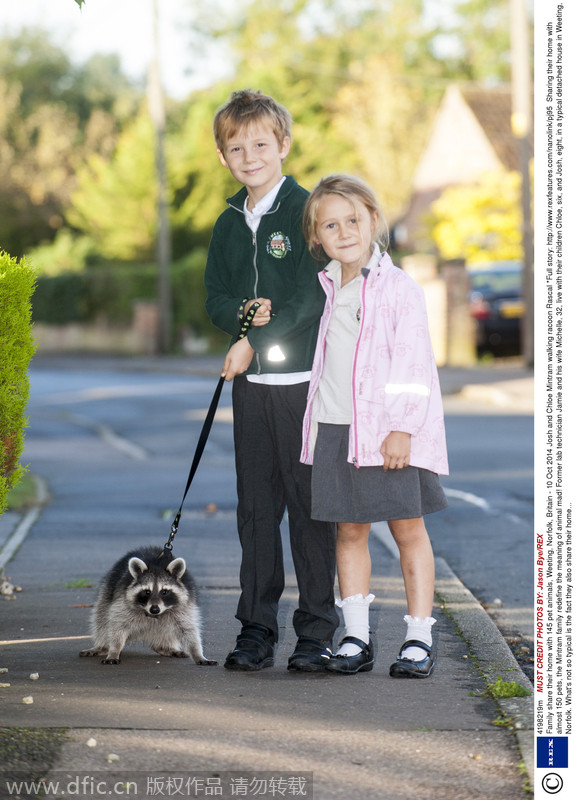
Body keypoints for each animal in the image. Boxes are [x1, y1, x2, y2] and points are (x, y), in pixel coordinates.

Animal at [77, 544, 216, 668]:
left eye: (164, 591)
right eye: (147, 592)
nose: (154, 609)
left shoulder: (184, 606)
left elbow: (188, 630)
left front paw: (197, 654)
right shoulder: (122, 602)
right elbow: (118, 627)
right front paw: (114, 650)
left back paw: (164, 646)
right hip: (108, 589)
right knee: (102, 618)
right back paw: (103, 646)